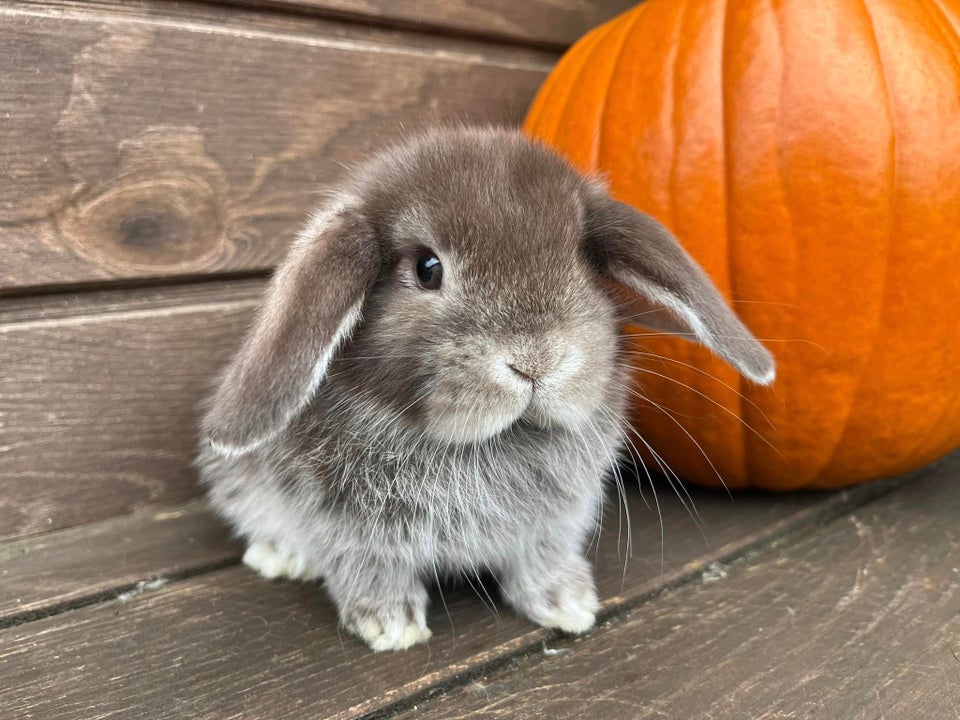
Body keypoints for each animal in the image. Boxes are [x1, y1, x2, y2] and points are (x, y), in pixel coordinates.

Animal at [199, 125, 776, 652]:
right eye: (426, 268)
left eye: (583, 262)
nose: (535, 361)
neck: (492, 443)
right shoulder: (349, 527)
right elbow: (369, 568)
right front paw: (390, 625)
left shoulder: (555, 522)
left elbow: (541, 560)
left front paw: (569, 604)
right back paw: (281, 557)